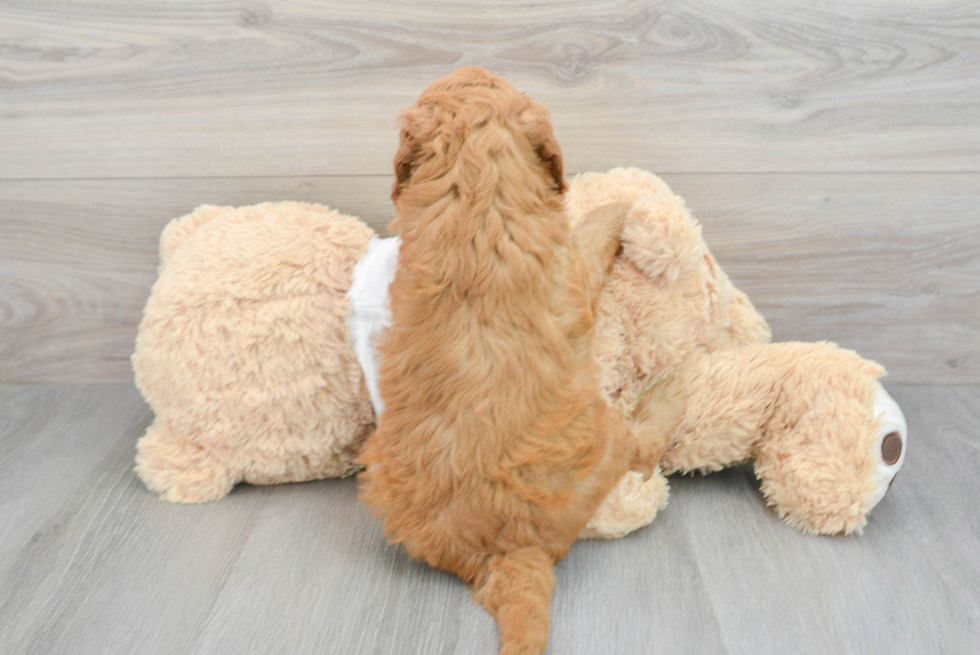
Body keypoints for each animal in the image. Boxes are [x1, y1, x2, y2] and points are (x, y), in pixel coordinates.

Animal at [360, 68, 652, 655]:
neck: (476, 185)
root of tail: (511, 547)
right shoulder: (575, 270)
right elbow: (592, 235)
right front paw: (617, 205)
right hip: (604, 433)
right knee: (641, 446)